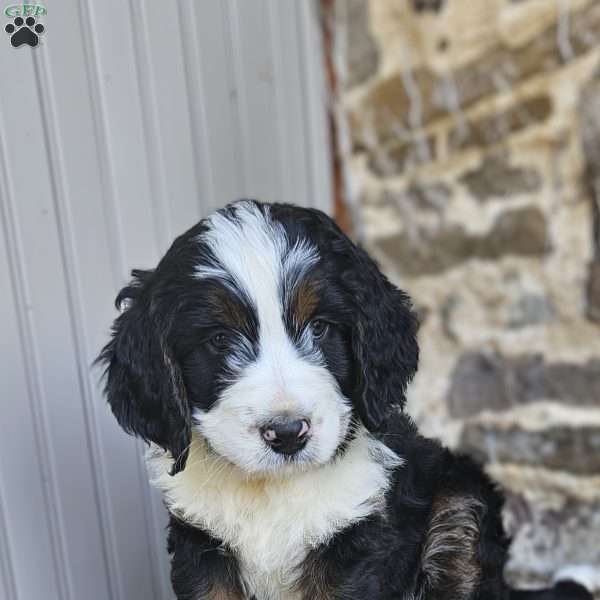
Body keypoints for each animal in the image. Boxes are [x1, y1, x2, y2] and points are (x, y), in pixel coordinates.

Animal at [97, 200, 592, 600]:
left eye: (320, 328)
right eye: (219, 340)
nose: (287, 433)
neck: (271, 490)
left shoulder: (356, 539)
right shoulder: (201, 544)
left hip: (461, 507)